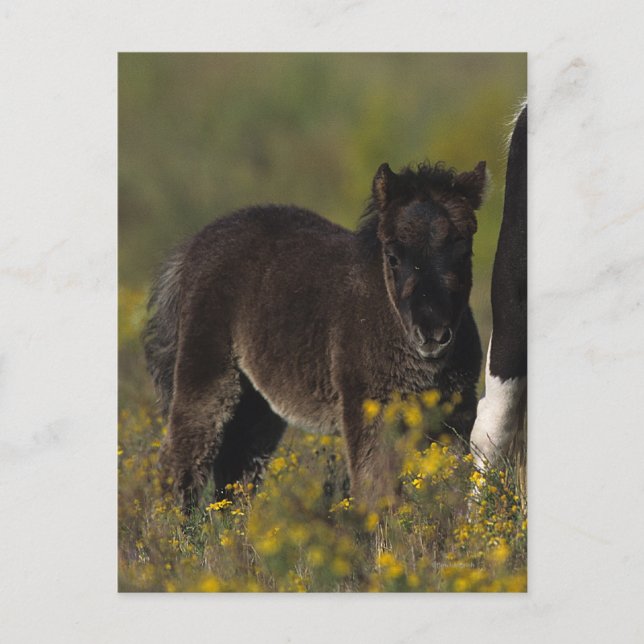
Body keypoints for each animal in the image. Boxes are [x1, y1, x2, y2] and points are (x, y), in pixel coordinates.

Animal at [143, 160, 487, 510]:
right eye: (392, 257)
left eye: (464, 253)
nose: (432, 333)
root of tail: (193, 247)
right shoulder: (367, 409)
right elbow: (375, 489)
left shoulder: (455, 412)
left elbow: (454, 483)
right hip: (207, 372)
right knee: (183, 457)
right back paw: (177, 525)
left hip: (258, 403)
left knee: (237, 469)